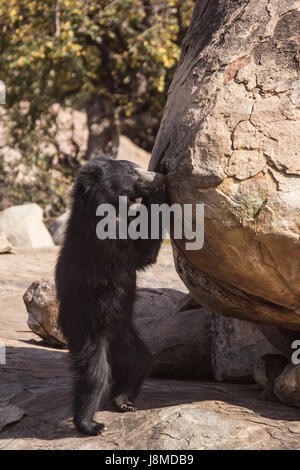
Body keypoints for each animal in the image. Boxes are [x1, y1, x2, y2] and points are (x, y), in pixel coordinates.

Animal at [55, 156, 165, 436]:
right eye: (132, 171)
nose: (158, 176)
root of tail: (111, 338)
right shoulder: (104, 244)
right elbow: (142, 250)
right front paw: (162, 192)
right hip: (87, 331)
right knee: (95, 375)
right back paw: (90, 424)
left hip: (126, 333)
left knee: (139, 361)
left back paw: (123, 401)